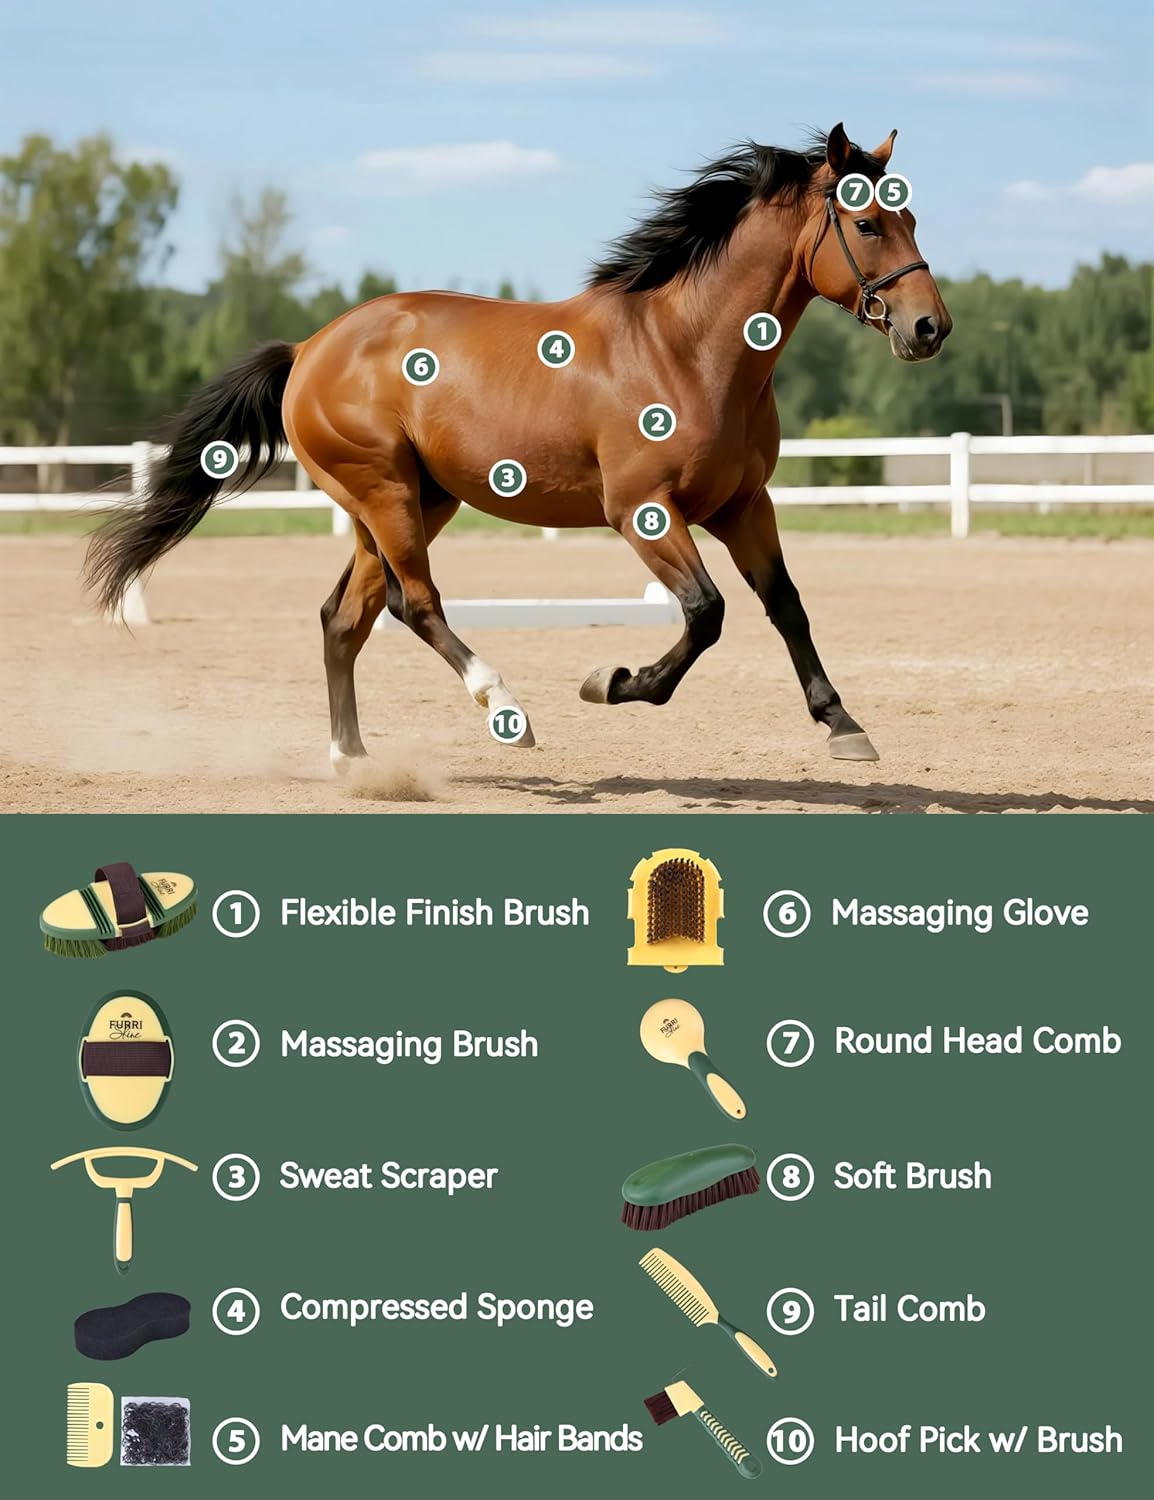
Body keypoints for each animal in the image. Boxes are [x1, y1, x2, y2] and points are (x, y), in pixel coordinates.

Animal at [86, 123, 951, 771]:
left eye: (911, 220)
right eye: (868, 223)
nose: (929, 328)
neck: (688, 349)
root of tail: (309, 348)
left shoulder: (744, 505)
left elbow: (785, 605)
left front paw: (843, 726)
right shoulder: (641, 511)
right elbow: (706, 613)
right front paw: (613, 682)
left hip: (408, 503)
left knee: (345, 617)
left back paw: (355, 761)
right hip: (385, 495)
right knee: (412, 602)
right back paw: (506, 709)